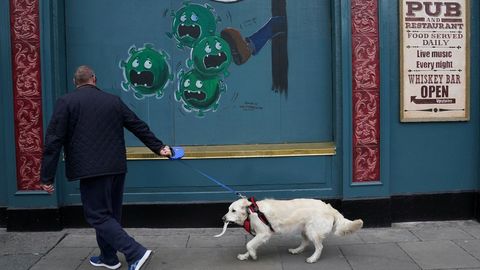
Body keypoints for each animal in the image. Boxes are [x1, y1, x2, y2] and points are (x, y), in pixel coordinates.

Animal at [215, 197, 364, 262]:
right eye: (229, 209)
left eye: (233, 210)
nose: (222, 218)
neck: (251, 211)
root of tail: (330, 208)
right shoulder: (259, 235)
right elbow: (251, 245)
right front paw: (246, 255)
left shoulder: (263, 234)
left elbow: (249, 244)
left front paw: (252, 255)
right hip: (304, 229)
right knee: (305, 243)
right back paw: (296, 250)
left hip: (312, 230)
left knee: (319, 246)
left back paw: (313, 258)